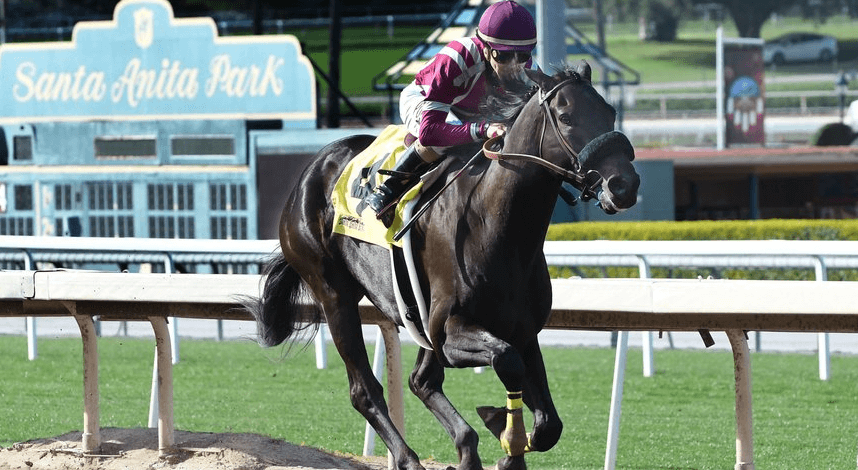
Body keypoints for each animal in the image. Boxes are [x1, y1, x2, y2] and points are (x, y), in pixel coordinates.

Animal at [246, 61, 640, 470]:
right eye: (565, 117)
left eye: (610, 112)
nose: (623, 185)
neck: (495, 226)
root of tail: (312, 169)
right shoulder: (451, 331)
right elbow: (507, 361)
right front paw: (503, 430)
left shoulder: (521, 328)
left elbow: (549, 423)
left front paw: (507, 446)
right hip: (334, 295)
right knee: (365, 390)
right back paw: (409, 458)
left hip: (417, 317)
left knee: (421, 380)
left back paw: (465, 447)